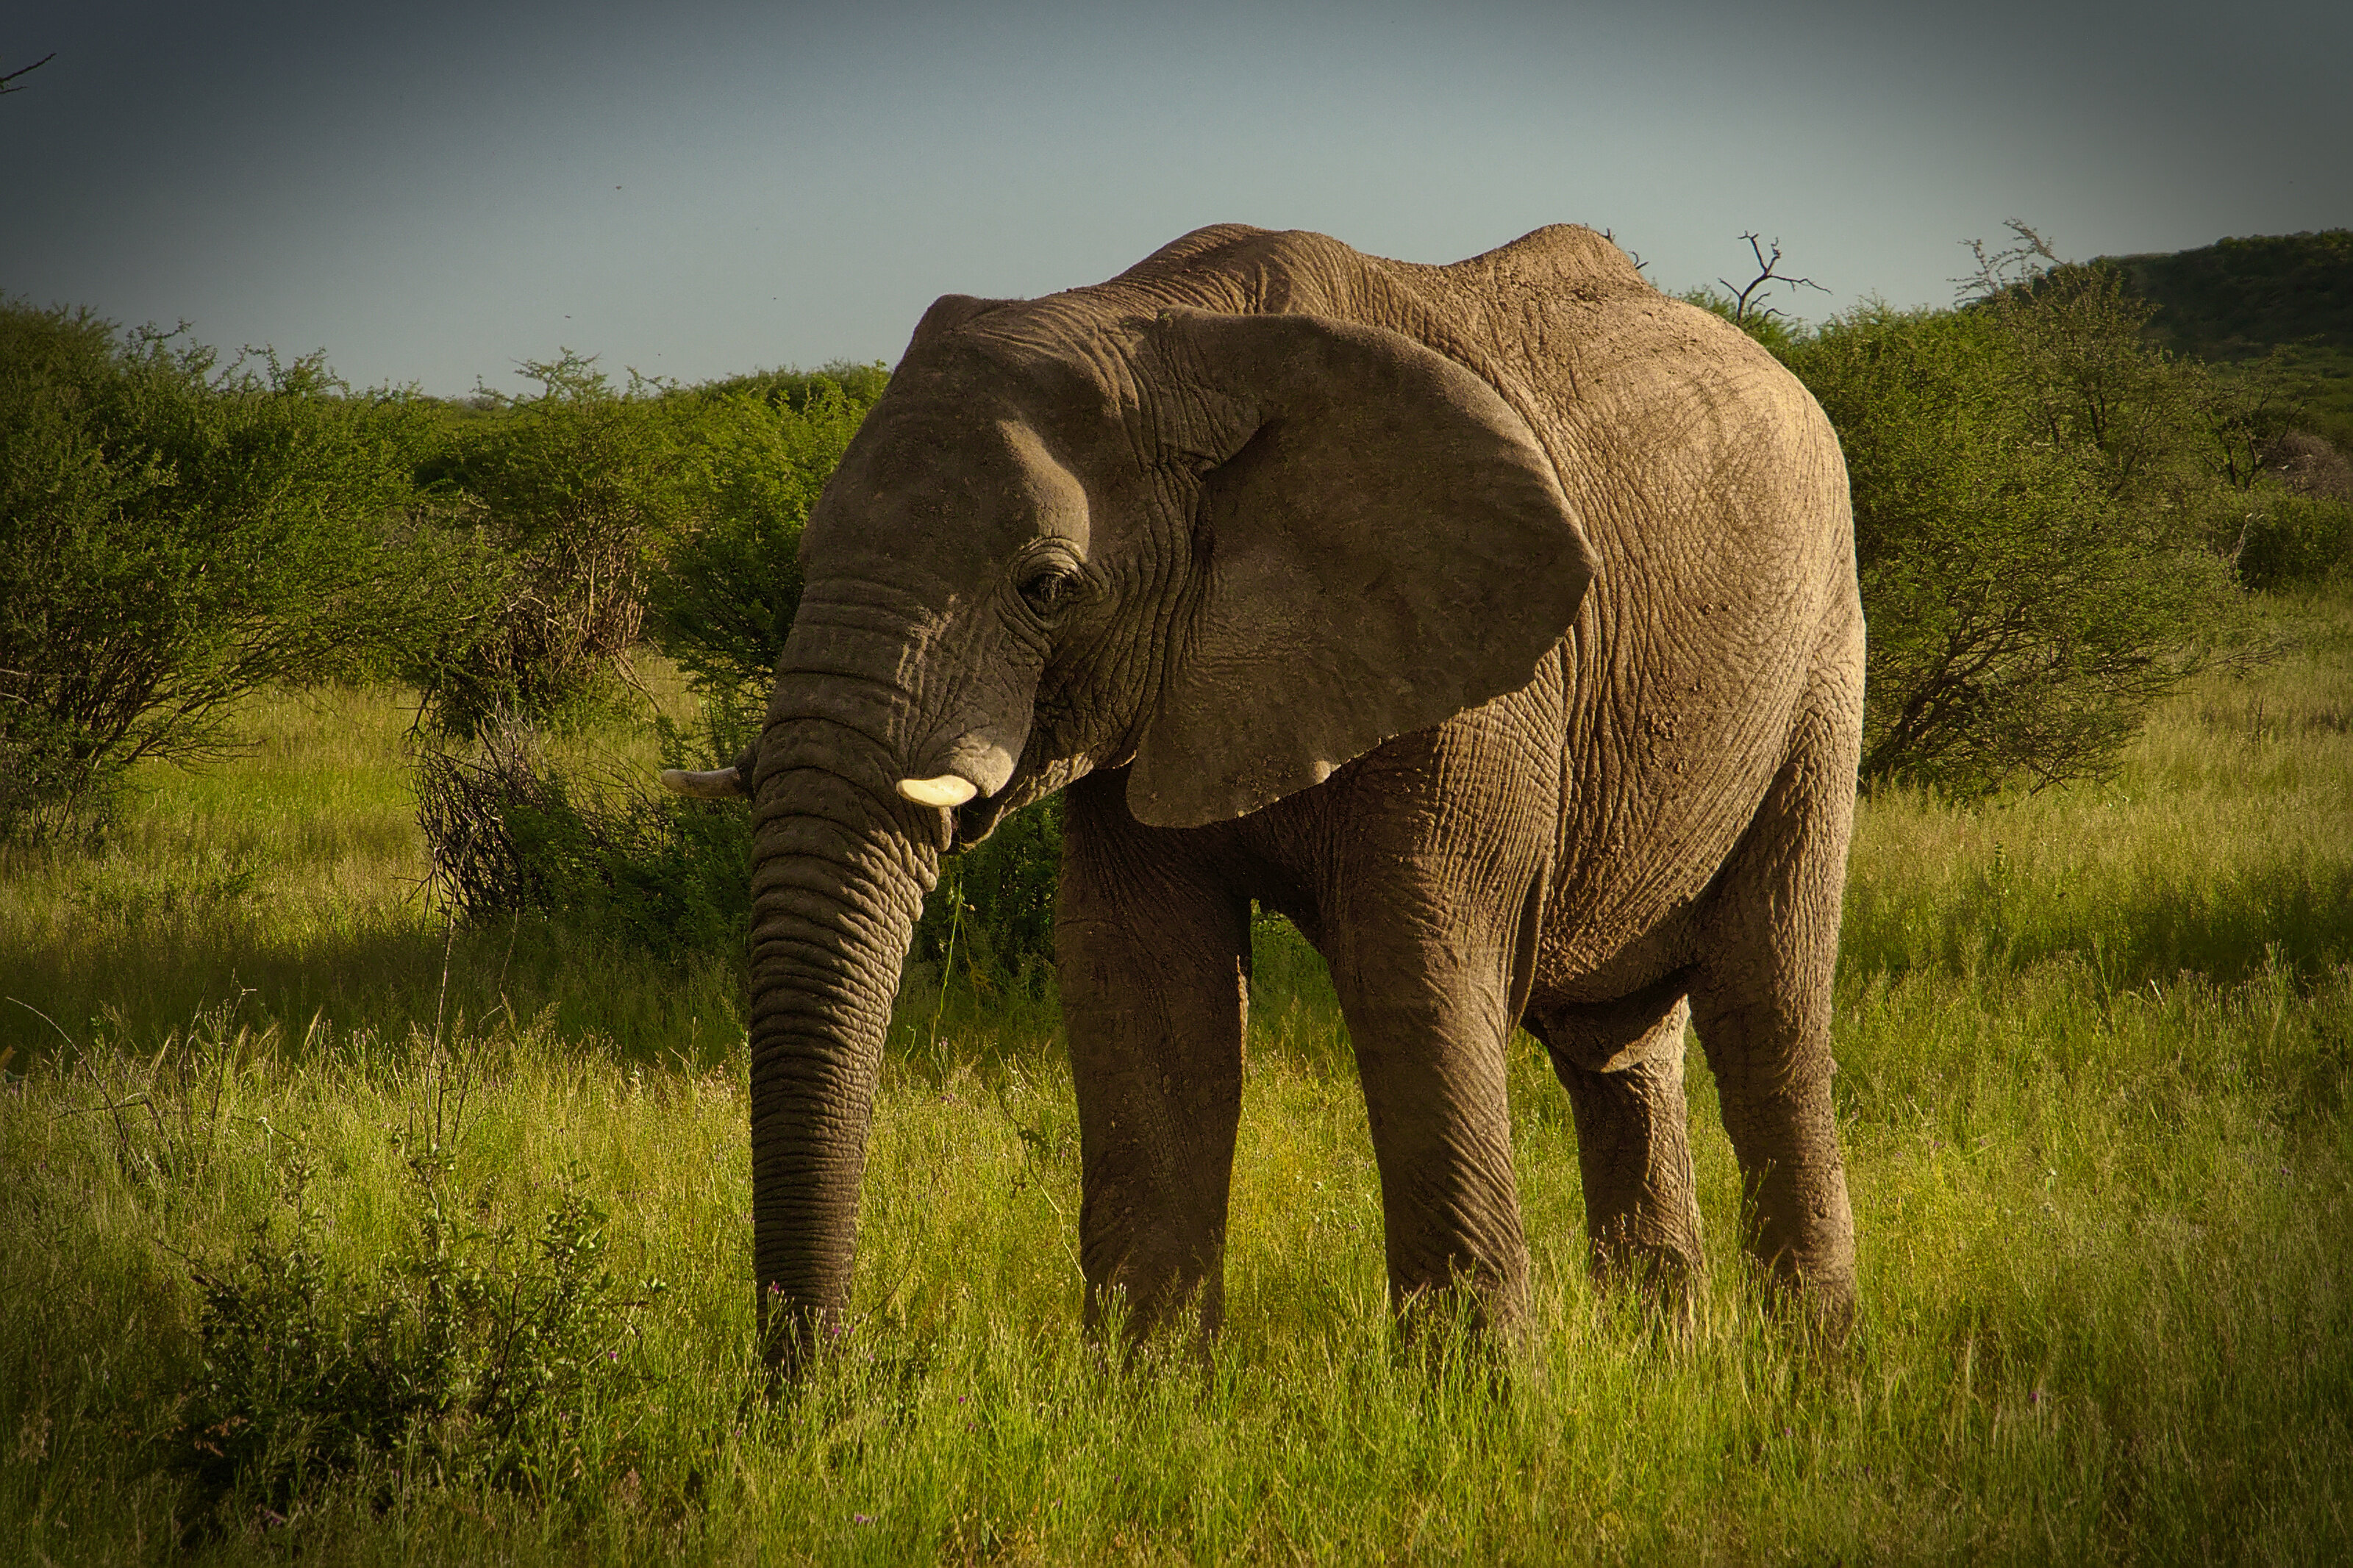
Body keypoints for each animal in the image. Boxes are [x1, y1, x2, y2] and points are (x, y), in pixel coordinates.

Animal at [663, 222, 1863, 1368]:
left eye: (1047, 587)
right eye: (804, 556)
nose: (816, 1382)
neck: (1169, 332)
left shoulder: (1487, 672)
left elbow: (1414, 967)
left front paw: (1474, 1400)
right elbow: (1142, 986)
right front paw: (1144, 1397)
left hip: (1821, 661)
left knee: (1767, 1006)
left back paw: (1807, 1371)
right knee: (1617, 1055)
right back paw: (1669, 1358)